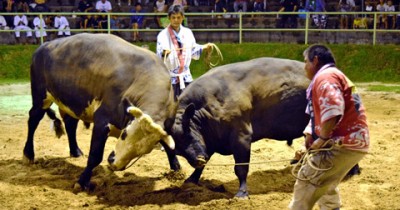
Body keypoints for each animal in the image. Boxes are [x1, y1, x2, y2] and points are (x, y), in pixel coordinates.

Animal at [23, 33, 180, 190]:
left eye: (145, 151)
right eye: (124, 133)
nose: (114, 163)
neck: (140, 78)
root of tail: (43, 47)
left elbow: (170, 148)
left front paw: (177, 170)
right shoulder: (102, 122)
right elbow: (95, 156)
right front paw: (82, 182)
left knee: (70, 124)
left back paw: (75, 151)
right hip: (40, 97)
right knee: (33, 120)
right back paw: (28, 154)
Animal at [170, 57, 310, 197]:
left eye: (188, 133)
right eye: (177, 150)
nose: (197, 160)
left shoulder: (241, 135)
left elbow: (241, 167)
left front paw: (242, 193)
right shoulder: (209, 140)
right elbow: (205, 162)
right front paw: (191, 180)